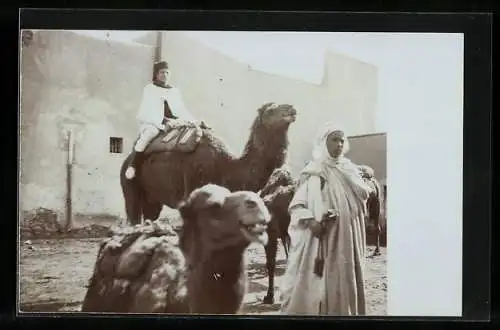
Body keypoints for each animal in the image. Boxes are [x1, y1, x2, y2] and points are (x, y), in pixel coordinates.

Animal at [120, 103, 296, 226]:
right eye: (270, 110)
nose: (292, 109)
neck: (228, 167)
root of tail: (126, 160)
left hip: (153, 197)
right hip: (129, 186)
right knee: (133, 214)